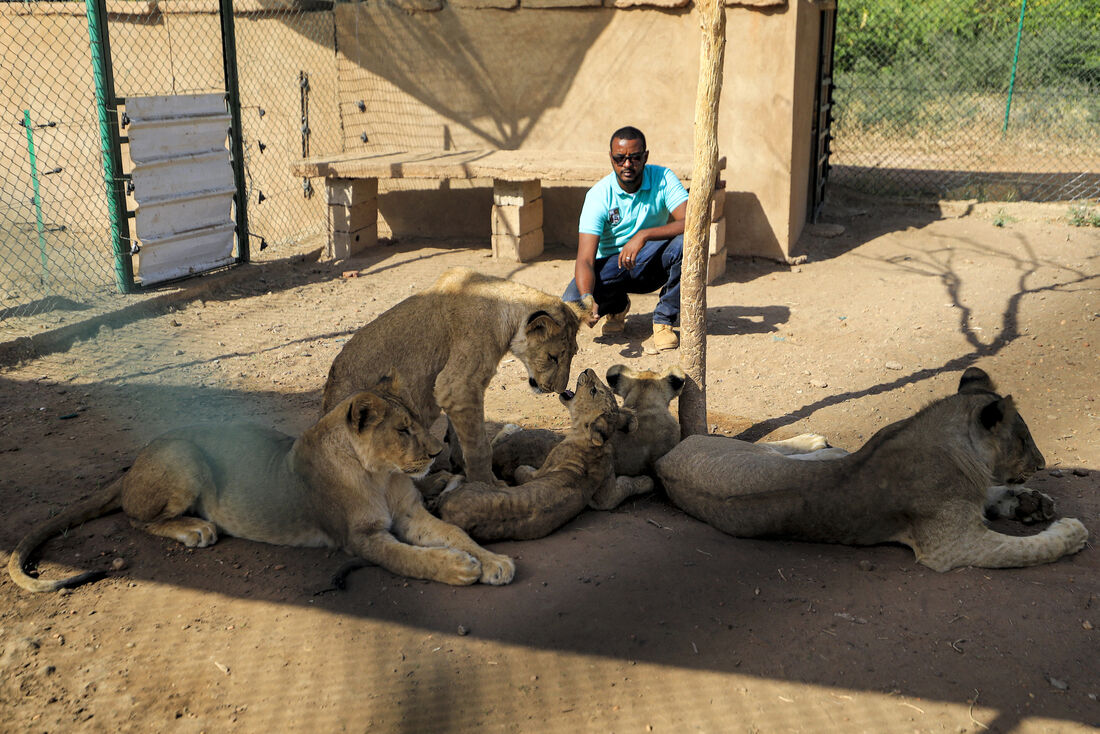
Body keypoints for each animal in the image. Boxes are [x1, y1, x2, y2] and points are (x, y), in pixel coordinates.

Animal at [9, 378, 514, 589]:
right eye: (403, 430)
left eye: (420, 423)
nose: (434, 452)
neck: (379, 474)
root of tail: (131, 467)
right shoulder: (360, 539)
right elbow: (410, 558)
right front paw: (457, 568)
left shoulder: (410, 514)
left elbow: (456, 533)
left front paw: (493, 562)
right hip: (184, 455)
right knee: (136, 518)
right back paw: (196, 529)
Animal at [321, 267, 589, 484]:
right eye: (553, 357)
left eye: (573, 353)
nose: (560, 389)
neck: (504, 311)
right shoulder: (458, 385)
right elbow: (479, 446)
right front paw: (488, 487)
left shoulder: (454, 393)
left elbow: (462, 439)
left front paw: (462, 467)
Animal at [655, 367, 1086, 572]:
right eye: (1025, 439)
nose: (1042, 464)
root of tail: (664, 460)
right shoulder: (953, 547)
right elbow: (1031, 549)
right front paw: (1071, 532)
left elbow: (992, 496)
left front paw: (1031, 503)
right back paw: (821, 445)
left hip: (740, 453)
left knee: (772, 448)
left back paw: (819, 446)